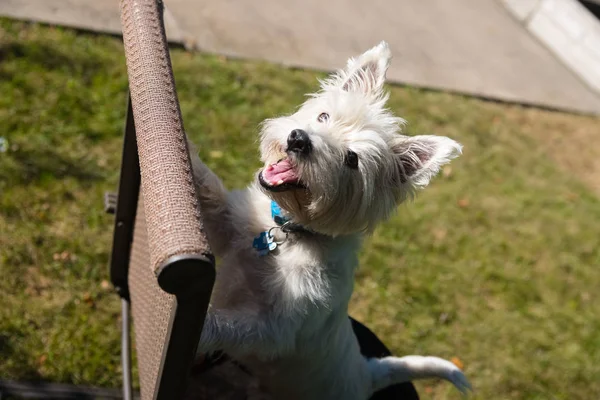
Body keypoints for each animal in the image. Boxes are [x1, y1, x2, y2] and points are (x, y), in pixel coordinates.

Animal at [190, 42, 472, 398]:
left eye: (352, 159)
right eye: (324, 116)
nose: (298, 139)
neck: (289, 234)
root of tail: (367, 373)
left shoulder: (276, 329)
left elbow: (231, 326)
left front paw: (199, 330)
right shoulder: (232, 227)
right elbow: (210, 192)